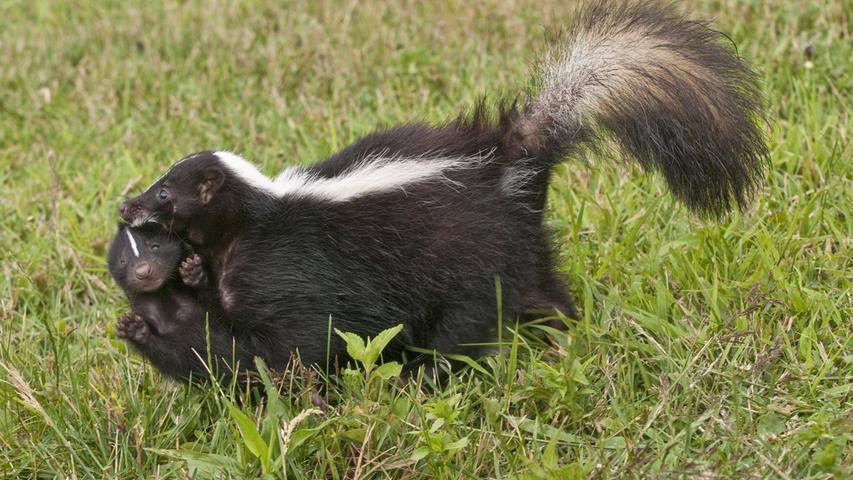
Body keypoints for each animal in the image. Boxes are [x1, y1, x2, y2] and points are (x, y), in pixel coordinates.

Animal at [115, 1, 764, 378]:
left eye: (166, 194)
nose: (128, 204)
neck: (251, 220)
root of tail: (508, 161)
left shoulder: (286, 271)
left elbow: (298, 339)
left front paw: (299, 389)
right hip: (519, 248)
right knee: (542, 289)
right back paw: (564, 335)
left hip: (464, 263)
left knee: (462, 327)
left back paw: (433, 374)